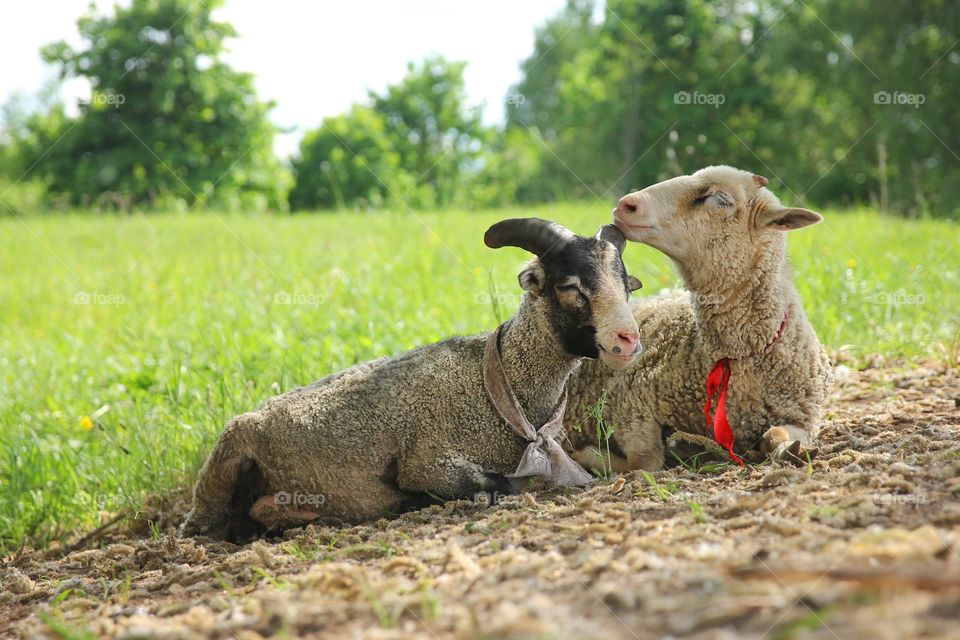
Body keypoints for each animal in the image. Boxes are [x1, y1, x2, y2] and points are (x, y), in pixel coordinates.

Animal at [180, 218, 642, 541]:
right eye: (569, 286)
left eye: (626, 285)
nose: (628, 339)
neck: (496, 382)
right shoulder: (428, 460)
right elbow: (500, 483)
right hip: (226, 455)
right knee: (210, 523)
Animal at [564, 165, 834, 471]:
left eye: (721, 199)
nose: (627, 204)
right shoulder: (630, 401)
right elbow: (646, 460)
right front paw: (590, 455)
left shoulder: (803, 416)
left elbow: (776, 434)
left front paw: (789, 449)